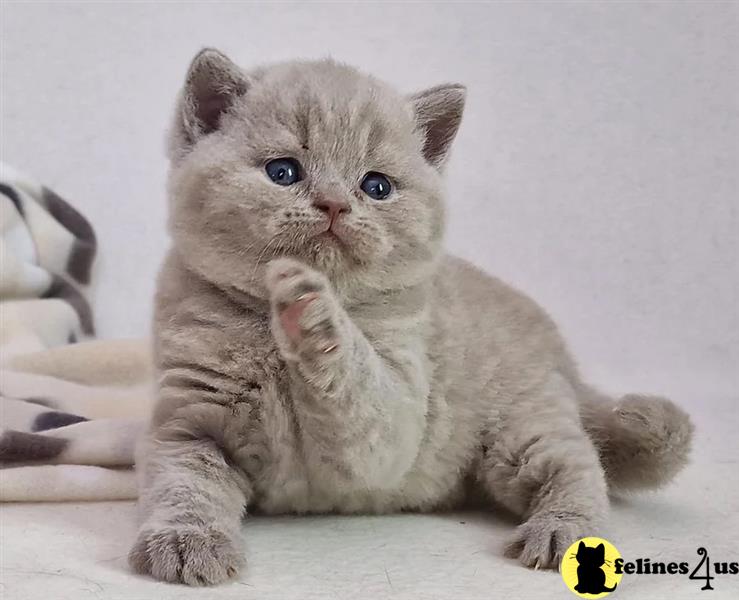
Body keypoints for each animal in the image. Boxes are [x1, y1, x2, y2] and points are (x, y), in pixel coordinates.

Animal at [130, 49, 696, 584]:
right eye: (282, 172)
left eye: (376, 186)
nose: (334, 204)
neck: (270, 343)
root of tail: (561, 353)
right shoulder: (189, 423)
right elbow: (184, 485)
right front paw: (186, 542)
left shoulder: (397, 409)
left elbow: (356, 386)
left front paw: (312, 308)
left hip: (523, 424)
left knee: (576, 467)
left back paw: (562, 533)